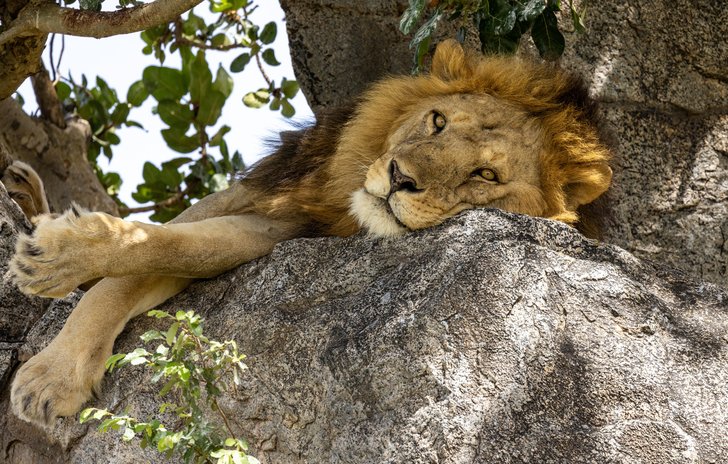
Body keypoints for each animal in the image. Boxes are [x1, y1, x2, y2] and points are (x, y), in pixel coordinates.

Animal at [7, 40, 611, 426]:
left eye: (485, 175)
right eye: (438, 122)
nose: (400, 177)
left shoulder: (280, 229)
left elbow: (171, 248)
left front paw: (51, 371)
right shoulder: (274, 194)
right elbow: (141, 250)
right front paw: (56, 281)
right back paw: (26, 197)